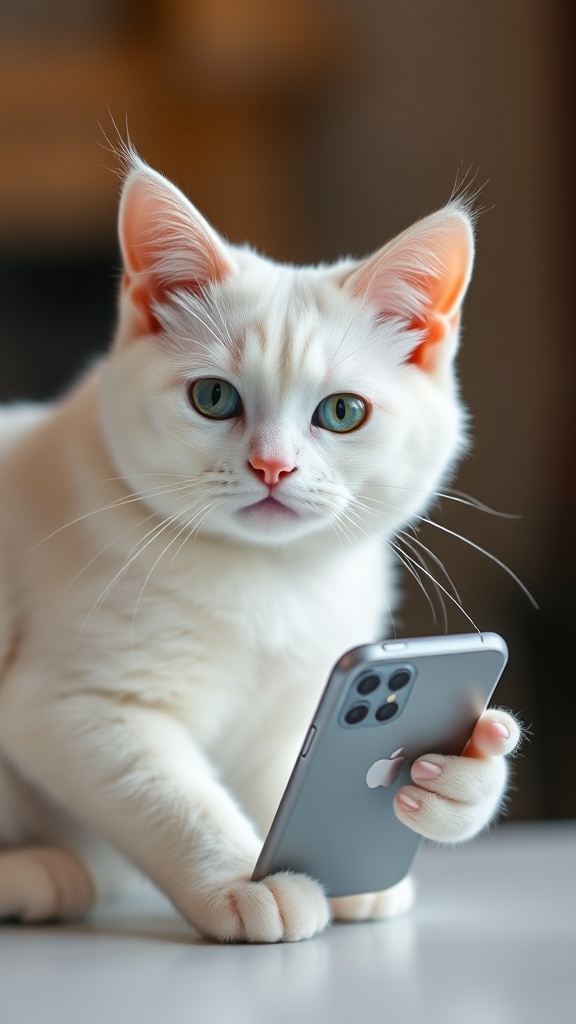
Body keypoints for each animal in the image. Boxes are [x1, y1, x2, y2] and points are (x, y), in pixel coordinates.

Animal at [0, 153, 518, 942]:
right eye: (213, 398)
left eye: (343, 412)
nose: (273, 466)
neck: (273, 580)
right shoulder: (75, 704)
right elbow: (175, 798)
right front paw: (244, 883)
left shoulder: (299, 702)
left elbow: (287, 779)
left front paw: (460, 778)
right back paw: (36, 874)